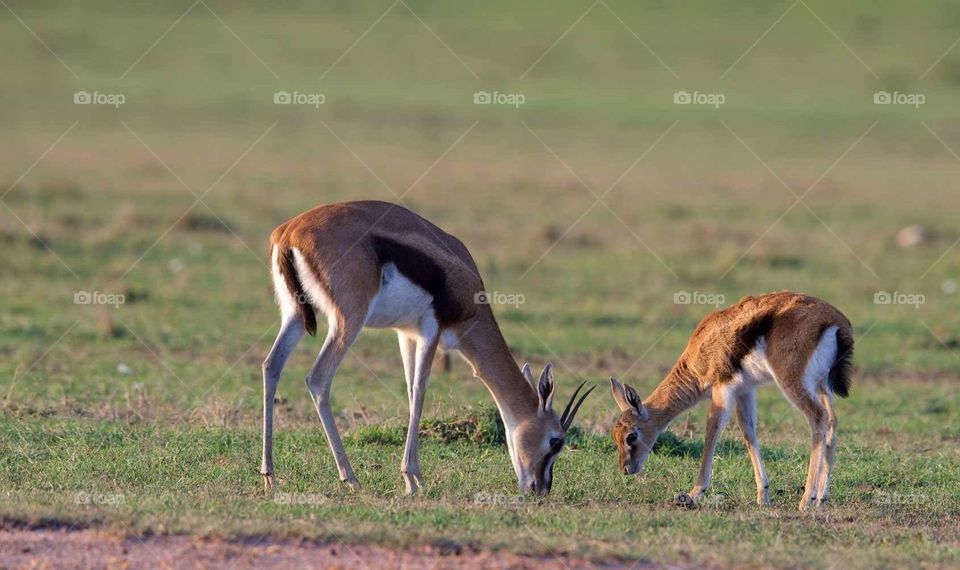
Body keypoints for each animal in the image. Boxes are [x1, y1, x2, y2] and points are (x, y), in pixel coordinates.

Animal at [261, 200, 594, 496]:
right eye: (556, 441)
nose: (541, 488)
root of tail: (288, 232)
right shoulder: (432, 329)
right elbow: (420, 390)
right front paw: (413, 479)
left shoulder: (406, 334)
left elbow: (410, 390)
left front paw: (412, 479)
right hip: (348, 321)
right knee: (318, 377)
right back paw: (351, 478)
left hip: (294, 315)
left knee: (271, 365)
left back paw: (270, 475)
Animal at [610, 291, 854, 510]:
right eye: (616, 436)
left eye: (631, 436)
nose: (625, 469)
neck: (701, 350)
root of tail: (837, 321)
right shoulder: (745, 390)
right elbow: (748, 431)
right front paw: (763, 496)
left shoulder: (722, 388)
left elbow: (713, 429)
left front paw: (693, 494)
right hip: (821, 385)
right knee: (832, 420)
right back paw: (821, 499)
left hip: (794, 383)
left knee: (818, 417)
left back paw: (807, 500)